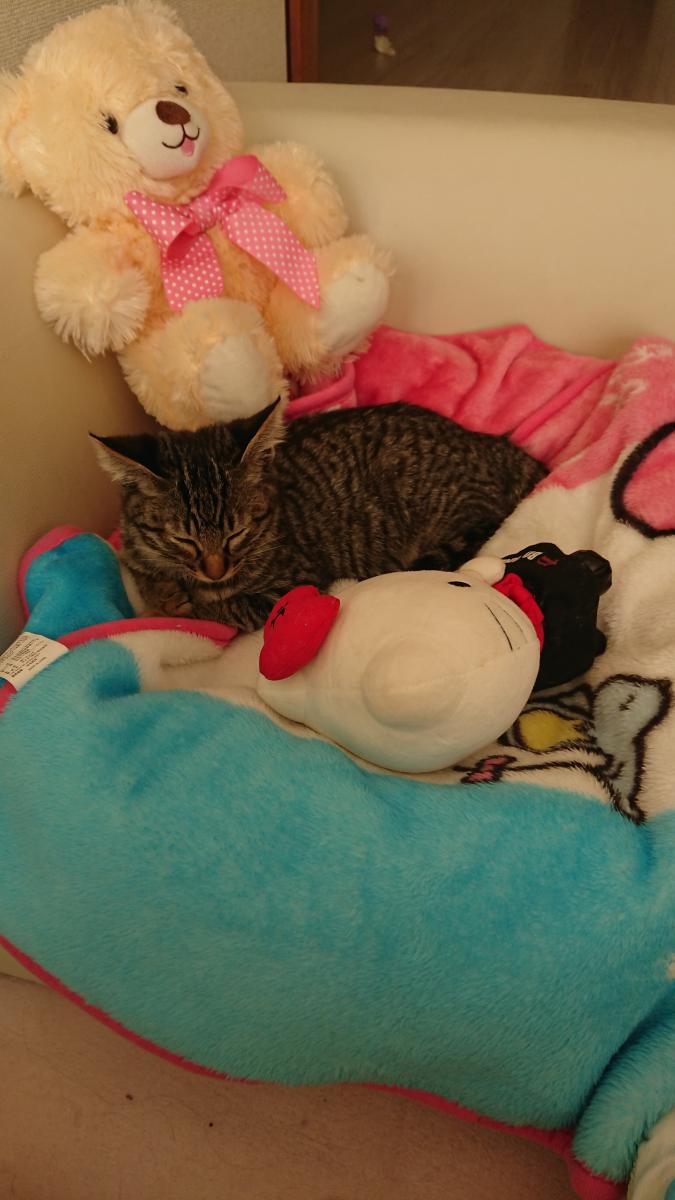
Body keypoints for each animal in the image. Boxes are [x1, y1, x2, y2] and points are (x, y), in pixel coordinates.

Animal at [92, 399, 546, 632]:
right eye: (184, 539)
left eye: (237, 534)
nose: (216, 571)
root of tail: (488, 445)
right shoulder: (131, 546)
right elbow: (140, 569)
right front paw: (165, 592)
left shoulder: (291, 585)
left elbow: (223, 608)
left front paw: (179, 605)